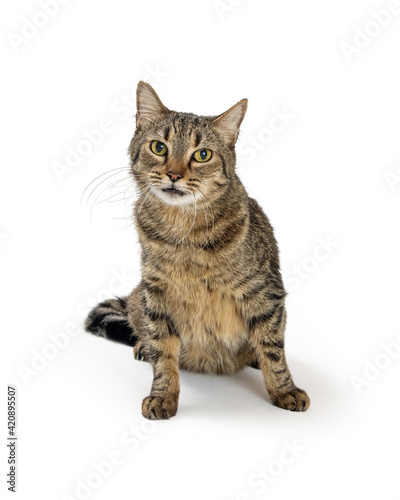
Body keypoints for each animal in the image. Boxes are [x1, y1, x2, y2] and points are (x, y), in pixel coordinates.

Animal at [83, 81, 310, 418]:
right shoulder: (156, 292)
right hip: (139, 297)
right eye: (159, 148)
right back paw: (142, 346)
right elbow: (163, 351)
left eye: (202, 155)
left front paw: (284, 390)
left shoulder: (265, 294)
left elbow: (273, 351)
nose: (174, 174)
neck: (184, 234)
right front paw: (163, 395)